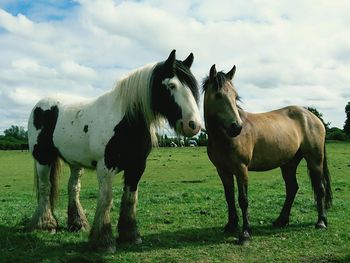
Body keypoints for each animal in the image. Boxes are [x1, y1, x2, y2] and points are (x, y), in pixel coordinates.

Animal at [27, 50, 201, 252]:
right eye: (172, 85)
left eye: (193, 87)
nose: (193, 125)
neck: (126, 119)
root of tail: (40, 104)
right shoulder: (106, 167)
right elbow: (106, 199)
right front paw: (103, 241)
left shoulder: (137, 167)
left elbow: (130, 198)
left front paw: (130, 235)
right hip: (43, 159)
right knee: (45, 187)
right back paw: (46, 225)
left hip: (75, 162)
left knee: (73, 188)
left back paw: (78, 224)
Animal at [202, 65, 330, 244]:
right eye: (218, 95)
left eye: (235, 96)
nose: (237, 127)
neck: (224, 137)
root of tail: (313, 117)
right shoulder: (223, 170)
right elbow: (229, 197)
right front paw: (230, 226)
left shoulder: (241, 169)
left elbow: (243, 200)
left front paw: (245, 233)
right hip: (289, 164)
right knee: (292, 188)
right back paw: (281, 220)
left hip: (315, 160)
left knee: (320, 187)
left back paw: (321, 222)